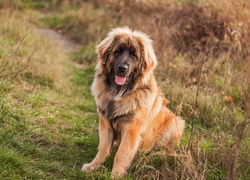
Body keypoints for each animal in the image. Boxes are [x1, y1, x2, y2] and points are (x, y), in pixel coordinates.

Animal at [82, 26, 186, 177]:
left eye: (134, 55)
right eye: (118, 51)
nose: (122, 68)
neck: (119, 93)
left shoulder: (132, 129)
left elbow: (121, 154)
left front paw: (116, 175)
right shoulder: (106, 123)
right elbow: (103, 148)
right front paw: (93, 166)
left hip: (176, 123)